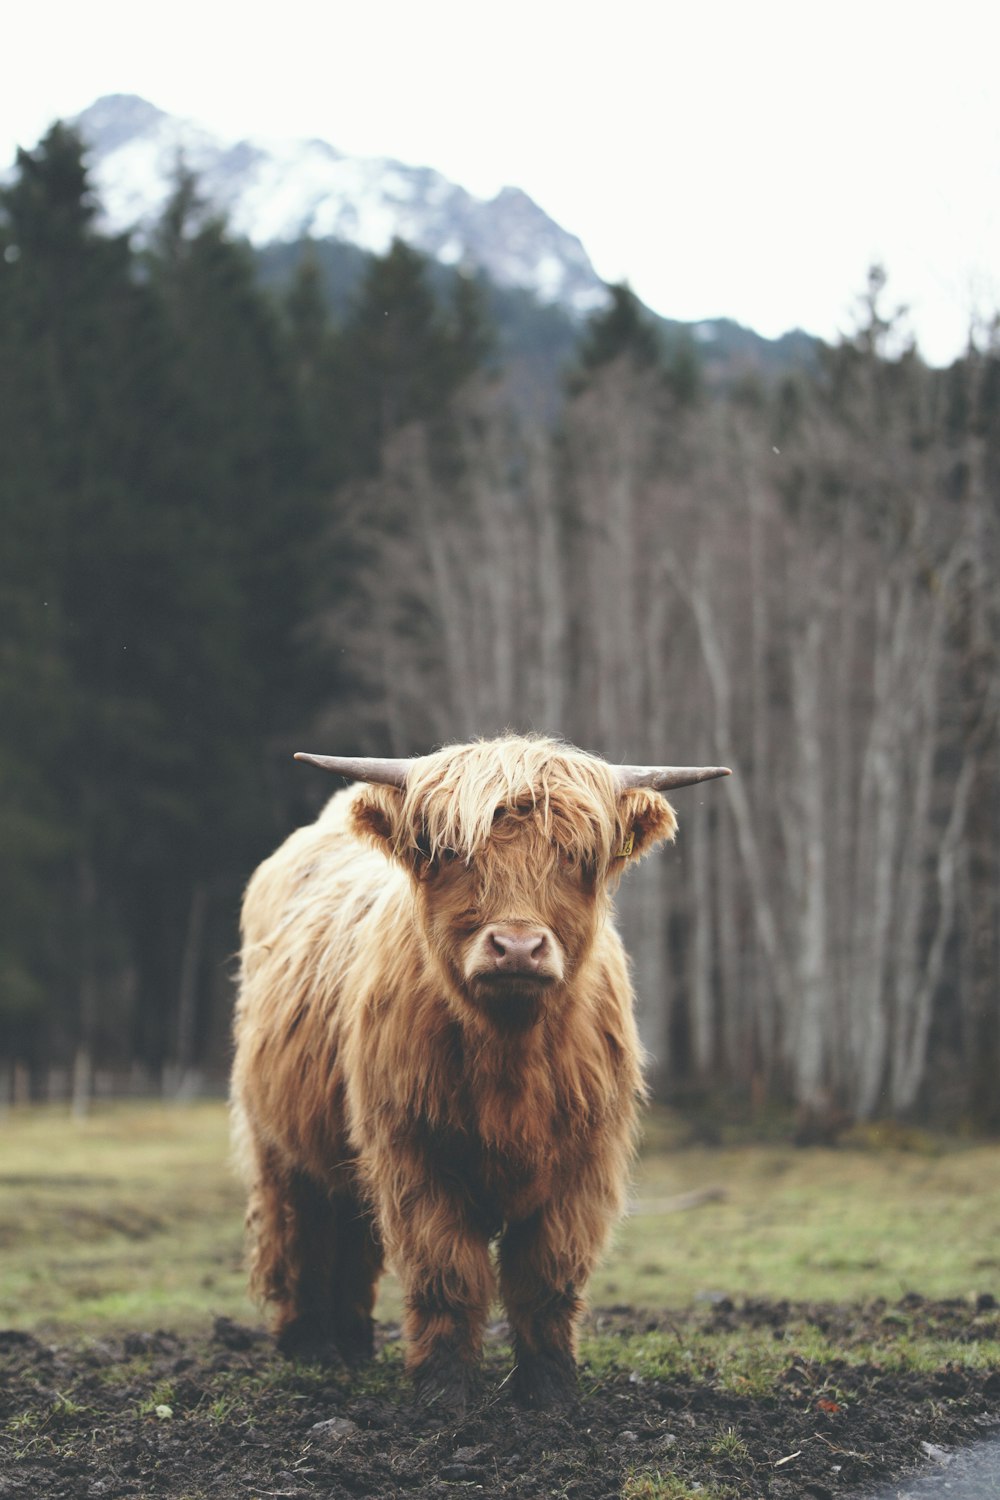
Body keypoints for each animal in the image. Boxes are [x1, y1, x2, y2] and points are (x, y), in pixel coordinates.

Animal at [232, 732, 731, 1410]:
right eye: (448, 853)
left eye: (578, 857)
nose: (517, 947)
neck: (509, 1053)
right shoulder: (412, 1154)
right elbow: (447, 1272)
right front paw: (444, 1390)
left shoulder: (584, 1163)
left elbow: (546, 1276)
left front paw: (550, 1389)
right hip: (279, 1140)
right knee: (300, 1230)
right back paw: (310, 1347)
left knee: (352, 1237)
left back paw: (355, 1345)